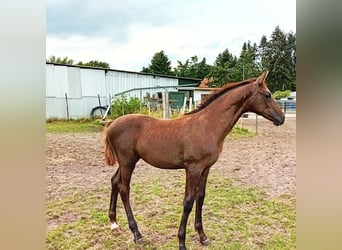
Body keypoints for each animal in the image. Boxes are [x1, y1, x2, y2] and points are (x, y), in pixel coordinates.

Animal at [103, 71, 284, 249]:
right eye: (267, 95)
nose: (282, 118)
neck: (208, 126)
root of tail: (111, 124)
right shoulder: (193, 169)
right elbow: (188, 202)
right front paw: (182, 242)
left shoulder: (205, 168)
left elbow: (201, 197)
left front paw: (203, 236)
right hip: (128, 162)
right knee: (124, 189)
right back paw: (137, 234)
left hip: (126, 162)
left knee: (115, 181)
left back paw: (114, 223)